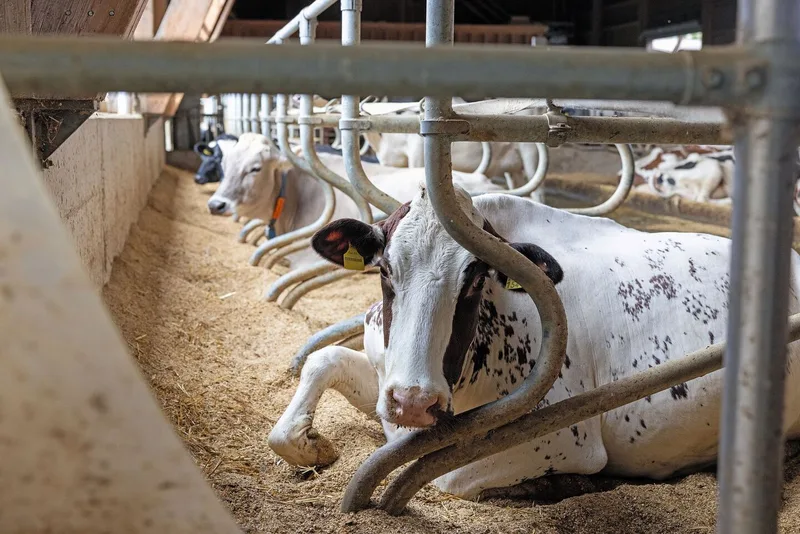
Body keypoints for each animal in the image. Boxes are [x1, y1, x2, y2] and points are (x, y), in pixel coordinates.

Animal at [267, 186, 800, 500]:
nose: (414, 402)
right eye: (384, 270)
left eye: (475, 278)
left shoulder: (560, 437)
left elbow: (442, 474)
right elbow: (322, 361)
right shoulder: (382, 379)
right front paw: (312, 445)